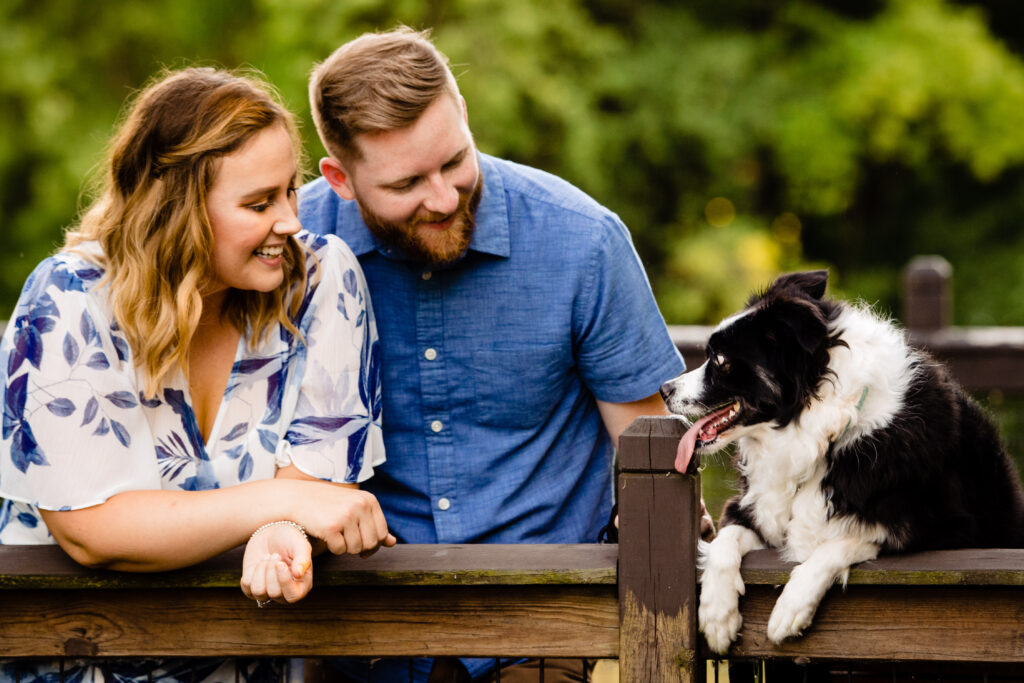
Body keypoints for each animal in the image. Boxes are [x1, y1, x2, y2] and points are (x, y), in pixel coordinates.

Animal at [655, 270, 1024, 655]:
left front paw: (791, 607)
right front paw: (717, 615)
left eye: (720, 360)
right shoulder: (753, 511)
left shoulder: (947, 528)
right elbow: (724, 541)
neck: (821, 438)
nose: (664, 390)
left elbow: (845, 541)